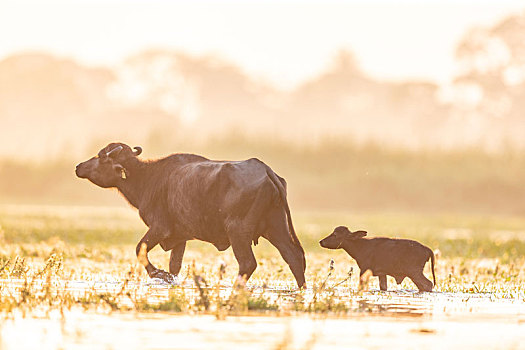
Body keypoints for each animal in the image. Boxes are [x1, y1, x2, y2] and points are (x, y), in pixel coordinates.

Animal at [77, 142, 308, 288]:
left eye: (101, 157)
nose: (79, 166)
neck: (149, 178)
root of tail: (265, 170)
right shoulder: (180, 237)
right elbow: (174, 265)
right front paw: (169, 277)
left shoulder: (160, 228)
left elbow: (139, 249)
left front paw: (159, 274)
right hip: (276, 228)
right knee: (294, 258)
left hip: (238, 232)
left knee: (248, 264)